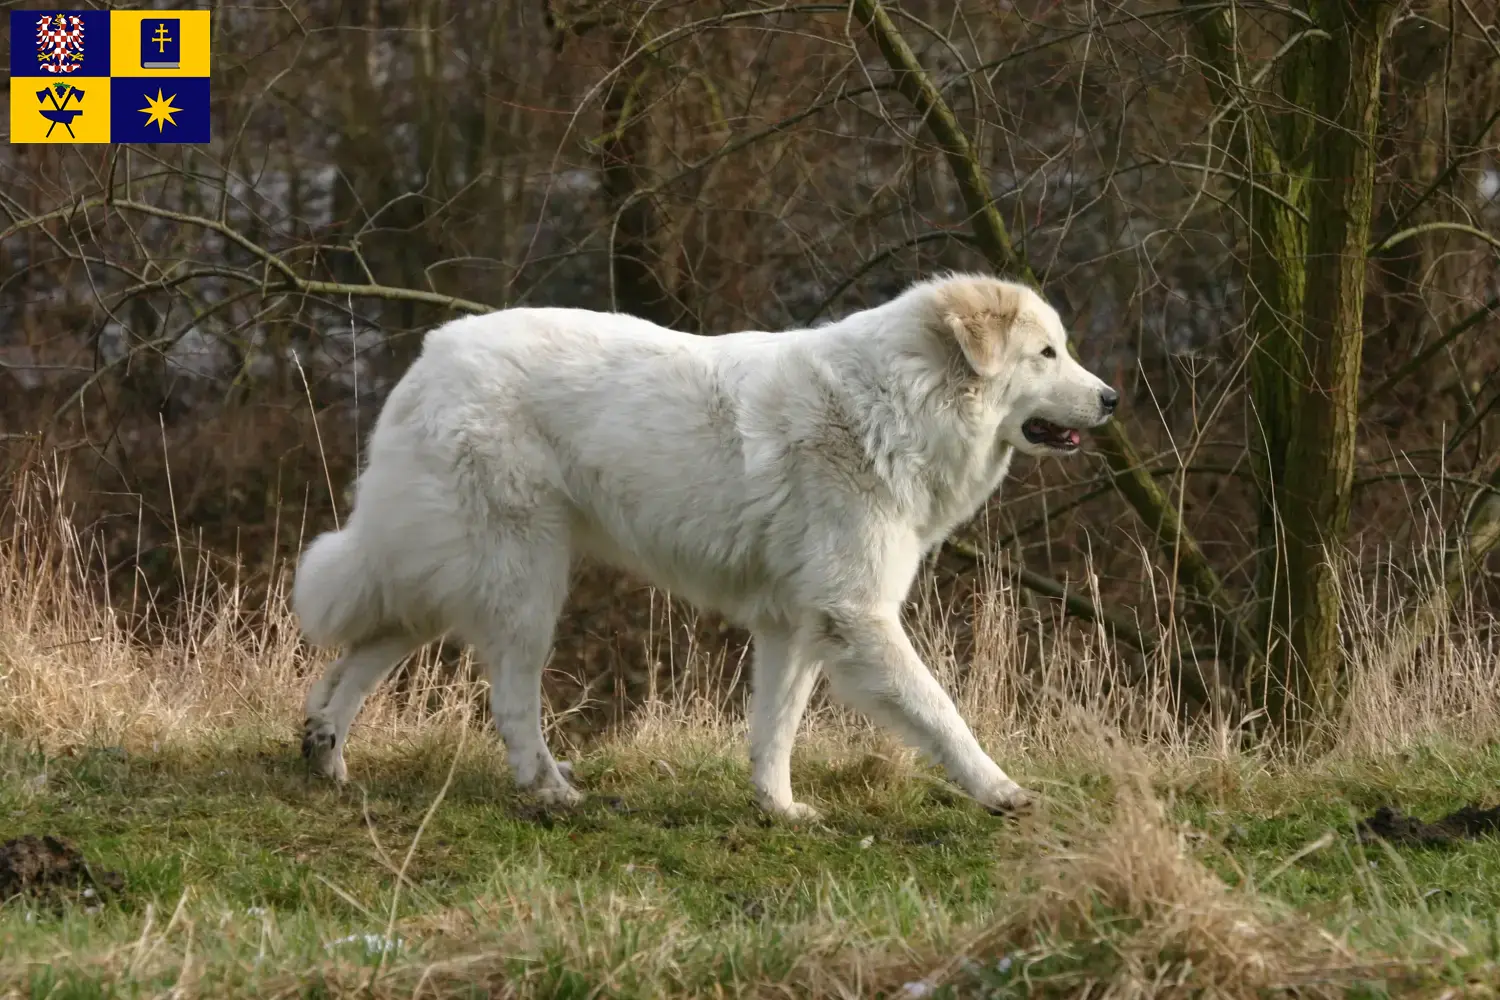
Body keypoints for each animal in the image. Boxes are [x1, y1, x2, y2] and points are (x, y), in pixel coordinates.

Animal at [292, 274, 1116, 821]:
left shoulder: (797, 625)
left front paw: (779, 810)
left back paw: (324, 750)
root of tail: (428, 357)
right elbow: (941, 712)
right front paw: (1000, 790)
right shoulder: (857, 615)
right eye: (1047, 354)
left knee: (362, 652)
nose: (1111, 399)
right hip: (525, 584)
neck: (897, 403)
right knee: (510, 700)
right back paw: (550, 790)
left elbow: (775, 729)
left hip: (450, 576)